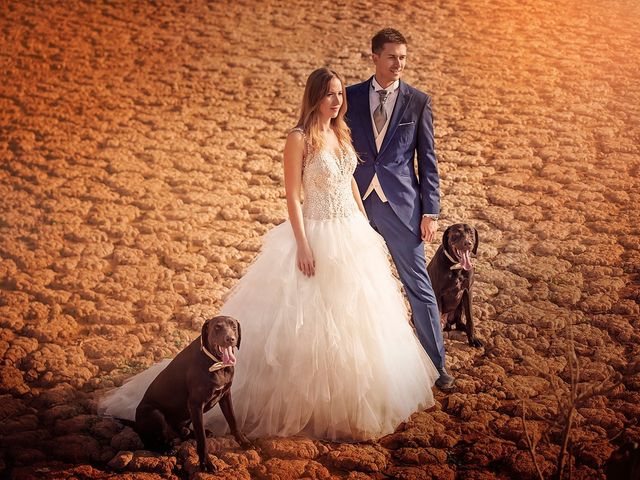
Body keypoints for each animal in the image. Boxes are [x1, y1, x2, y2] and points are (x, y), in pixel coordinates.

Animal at [134, 316, 250, 472]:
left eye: (234, 327)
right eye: (217, 327)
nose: (230, 339)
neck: (217, 364)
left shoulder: (225, 396)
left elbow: (233, 422)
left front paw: (244, 442)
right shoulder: (195, 404)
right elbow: (202, 440)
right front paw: (206, 463)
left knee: (184, 433)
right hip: (154, 413)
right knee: (151, 443)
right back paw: (166, 449)